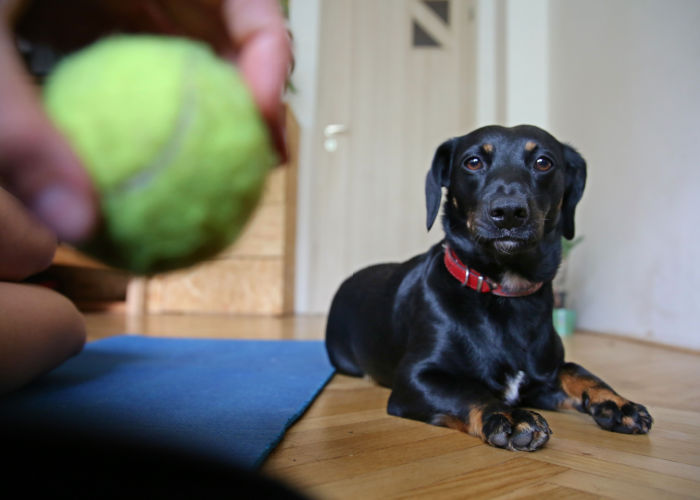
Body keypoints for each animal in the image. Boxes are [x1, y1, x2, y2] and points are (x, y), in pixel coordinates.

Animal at [326, 124, 652, 450]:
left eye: (543, 162)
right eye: (473, 162)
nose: (508, 212)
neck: (505, 291)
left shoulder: (542, 378)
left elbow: (577, 370)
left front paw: (619, 404)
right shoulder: (416, 378)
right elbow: (469, 391)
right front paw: (510, 416)